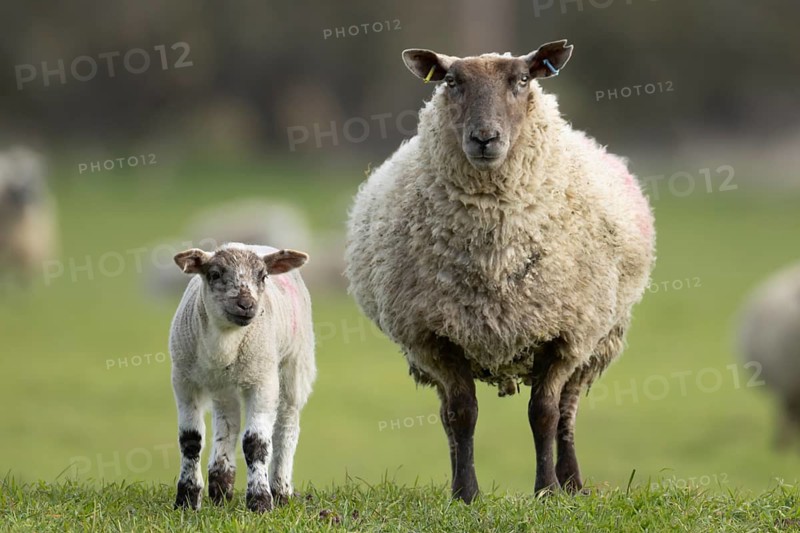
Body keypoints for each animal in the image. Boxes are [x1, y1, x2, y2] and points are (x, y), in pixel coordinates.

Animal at [169, 242, 315, 512]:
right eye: (215, 274)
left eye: (263, 276)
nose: (246, 305)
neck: (224, 343)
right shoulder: (184, 381)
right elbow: (190, 440)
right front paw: (187, 499)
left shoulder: (263, 381)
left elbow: (256, 443)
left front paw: (260, 501)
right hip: (222, 387)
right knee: (228, 421)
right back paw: (221, 486)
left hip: (294, 364)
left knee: (286, 426)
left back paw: (281, 490)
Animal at [344, 40, 655, 500]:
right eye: (451, 81)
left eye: (522, 79)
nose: (485, 138)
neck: (495, 253)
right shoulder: (434, 337)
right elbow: (461, 414)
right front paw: (465, 493)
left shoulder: (564, 334)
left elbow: (544, 413)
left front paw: (546, 491)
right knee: (446, 415)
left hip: (597, 339)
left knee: (568, 408)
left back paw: (572, 483)